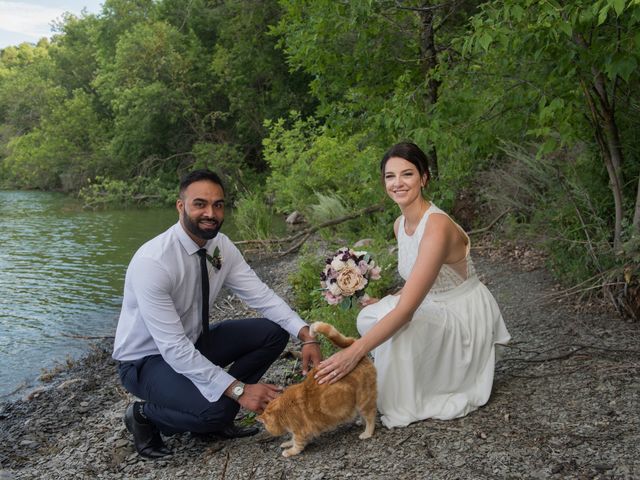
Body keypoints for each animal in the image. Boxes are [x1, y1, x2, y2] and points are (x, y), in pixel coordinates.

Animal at [255, 320, 376, 456]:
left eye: (267, 426)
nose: (269, 432)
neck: (283, 410)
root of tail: (353, 348)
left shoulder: (300, 431)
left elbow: (297, 443)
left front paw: (290, 451)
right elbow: (292, 439)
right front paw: (287, 443)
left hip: (364, 400)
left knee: (371, 416)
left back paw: (367, 433)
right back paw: (361, 421)